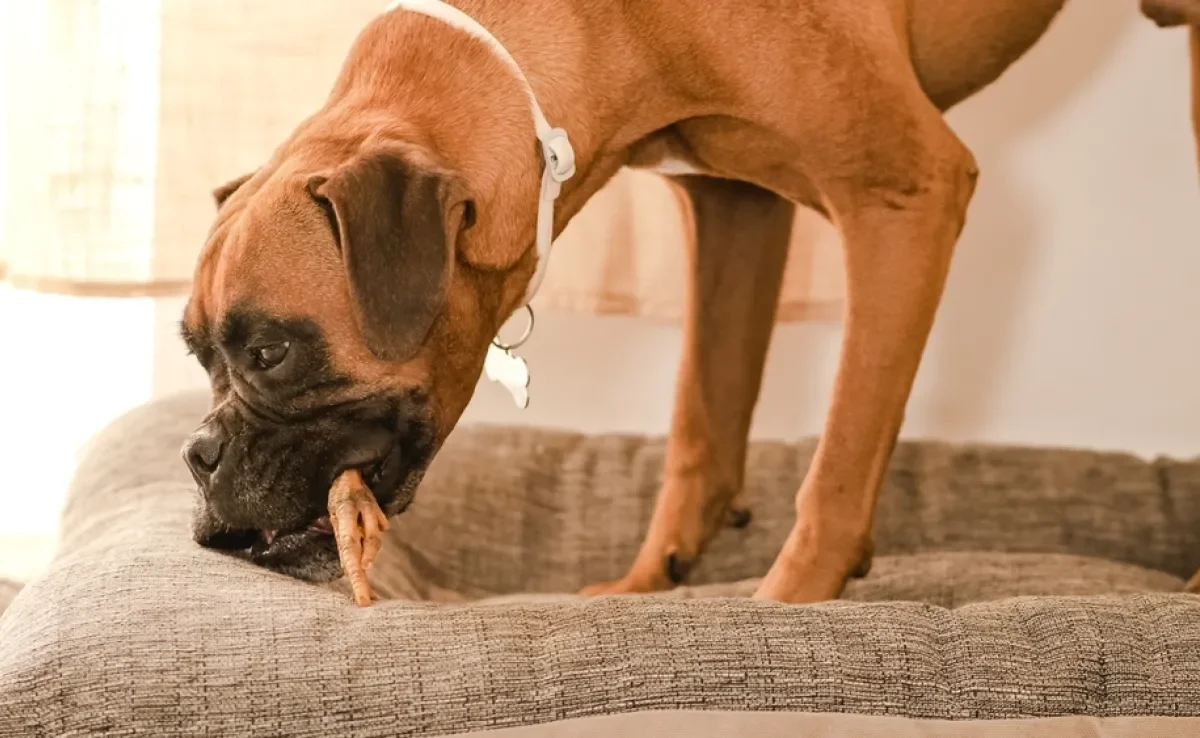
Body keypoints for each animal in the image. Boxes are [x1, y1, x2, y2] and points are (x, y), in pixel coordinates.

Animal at [180, 0, 1200, 600]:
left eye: (271, 351)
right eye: (197, 353)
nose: (196, 454)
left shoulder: (905, 191)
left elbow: (840, 457)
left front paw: (788, 603)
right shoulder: (733, 208)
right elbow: (702, 423)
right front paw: (649, 583)